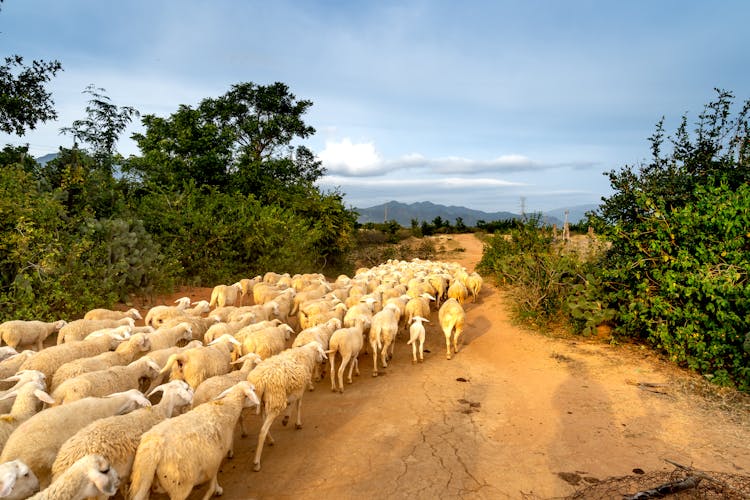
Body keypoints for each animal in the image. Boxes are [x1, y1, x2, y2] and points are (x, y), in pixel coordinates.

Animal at [128, 380, 260, 498]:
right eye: (253, 390)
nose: (259, 403)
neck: (227, 408)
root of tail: (153, 450)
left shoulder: (213, 458)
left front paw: (216, 489)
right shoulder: (216, 456)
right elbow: (214, 477)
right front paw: (217, 490)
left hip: (143, 480)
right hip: (179, 484)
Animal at [250, 342, 326, 470]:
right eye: (320, 351)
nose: (324, 360)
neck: (306, 353)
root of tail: (261, 381)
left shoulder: (295, 387)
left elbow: (292, 403)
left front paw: (286, 418)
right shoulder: (300, 388)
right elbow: (298, 404)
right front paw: (296, 423)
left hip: (263, 403)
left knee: (263, 423)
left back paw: (270, 440)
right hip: (276, 400)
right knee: (263, 430)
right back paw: (256, 462)